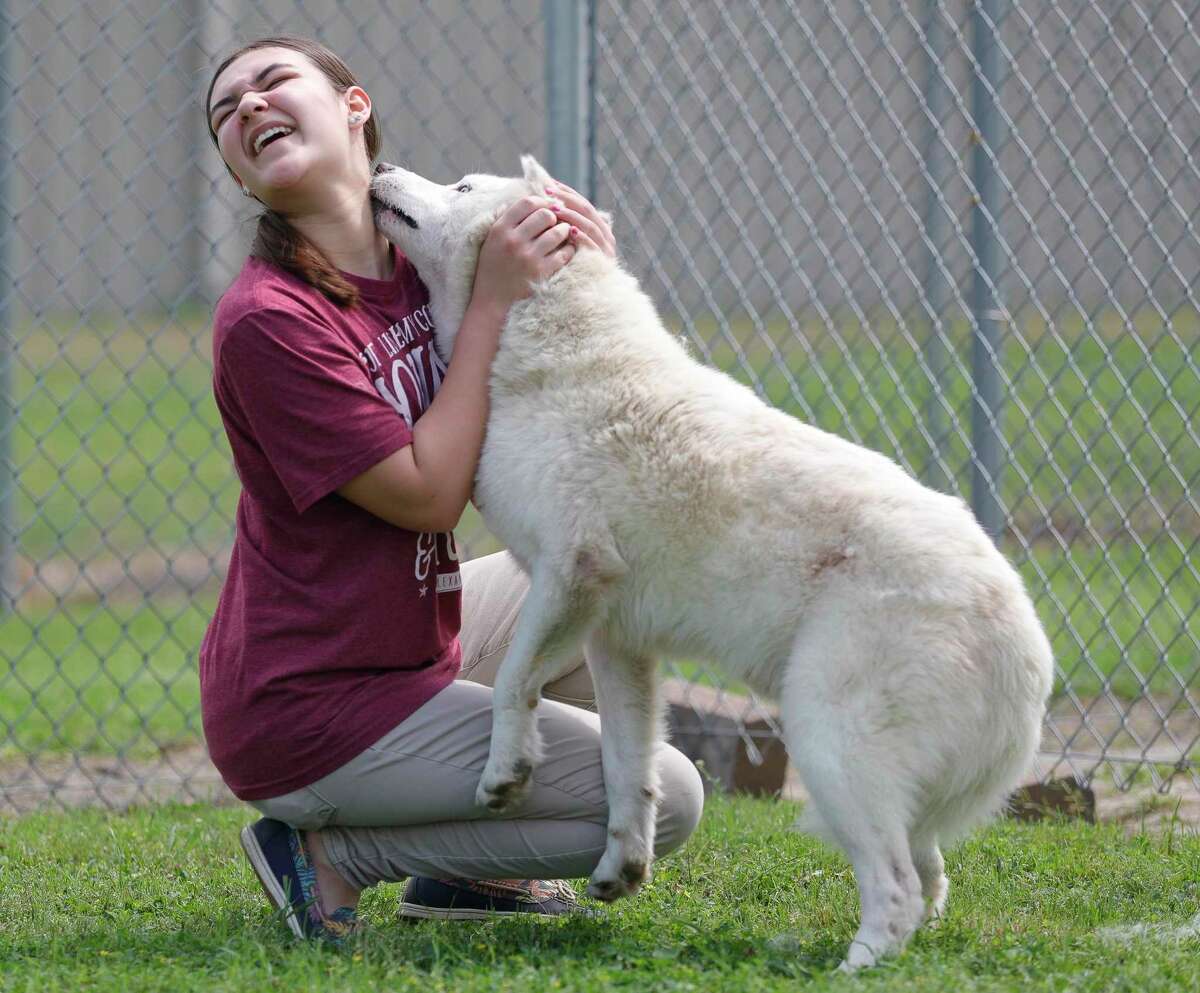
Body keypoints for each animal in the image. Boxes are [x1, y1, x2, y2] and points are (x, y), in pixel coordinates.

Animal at [372, 157, 1051, 969]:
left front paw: (506, 775)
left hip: (830, 742)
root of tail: (1024, 641)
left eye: (464, 188)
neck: (548, 347)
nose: (380, 164)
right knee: (930, 876)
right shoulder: (615, 640)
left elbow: (511, 685)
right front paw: (623, 866)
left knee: (897, 888)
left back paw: (848, 970)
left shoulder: (569, 575)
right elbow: (628, 767)